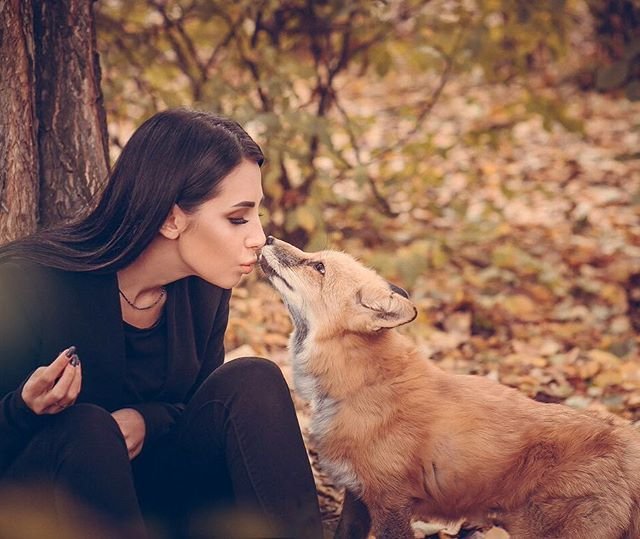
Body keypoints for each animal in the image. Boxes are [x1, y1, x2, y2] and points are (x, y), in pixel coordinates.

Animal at [258, 237, 640, 539]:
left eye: (318, 266)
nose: (269, 237)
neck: (359, 385)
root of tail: (624, 437)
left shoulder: (391, 502)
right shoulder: (358, 494)